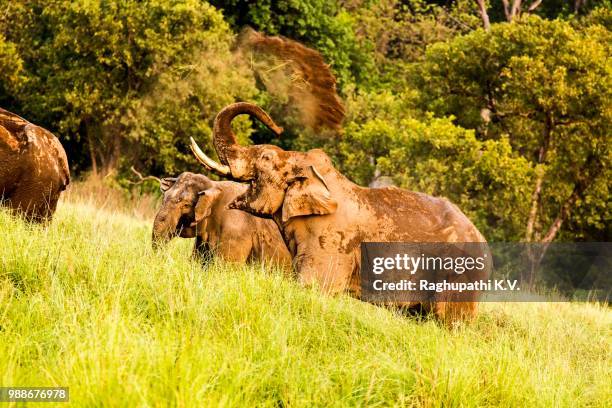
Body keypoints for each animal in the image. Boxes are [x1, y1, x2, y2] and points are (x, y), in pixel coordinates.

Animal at [191, 103, 492, 324]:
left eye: (265, 158)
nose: (277, 126)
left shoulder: (331, 240)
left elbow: (312, 286)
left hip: (459, 274)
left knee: (450, 321)